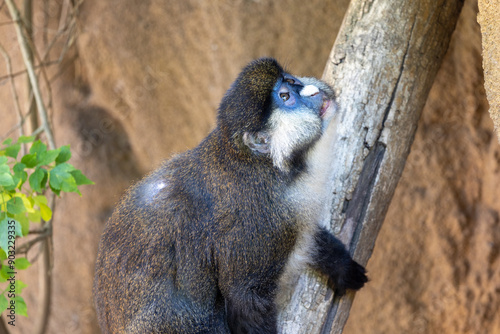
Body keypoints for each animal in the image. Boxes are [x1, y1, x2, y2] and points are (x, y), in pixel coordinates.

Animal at [94, 58, 368, 334]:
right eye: (285, 97)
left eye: (291, 80)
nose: (311, 92)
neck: (264, 164)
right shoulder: (257, 224)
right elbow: (244, 297)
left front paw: (341, 264)